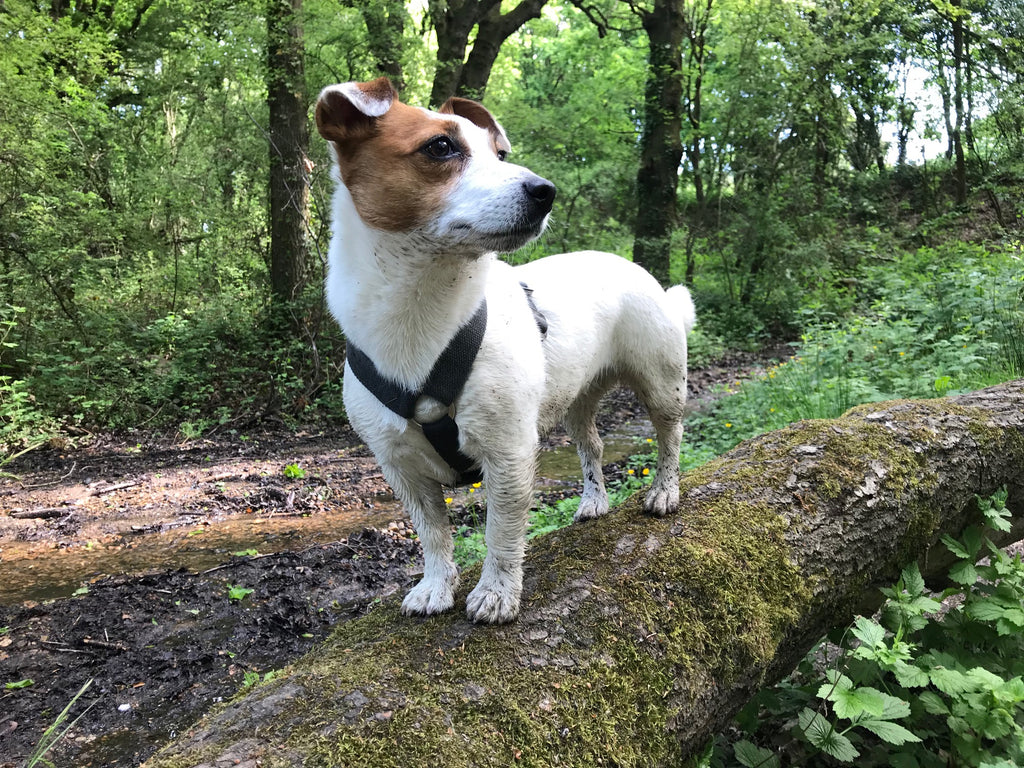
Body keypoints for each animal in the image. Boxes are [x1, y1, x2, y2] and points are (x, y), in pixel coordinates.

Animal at [313, 78, 696, 626]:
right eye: (440, 146)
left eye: (500, 154)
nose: (545, 190)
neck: (420, 318)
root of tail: (635, 268)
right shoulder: (400, 468)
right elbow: (433, 534)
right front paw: (435, 586)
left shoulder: (509, 453)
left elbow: (501, 532)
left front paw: (496, 594)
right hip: (576, 400)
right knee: (593, 447)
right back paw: (594, 501)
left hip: (663, 383)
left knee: (670, 437)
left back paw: (664, 492)